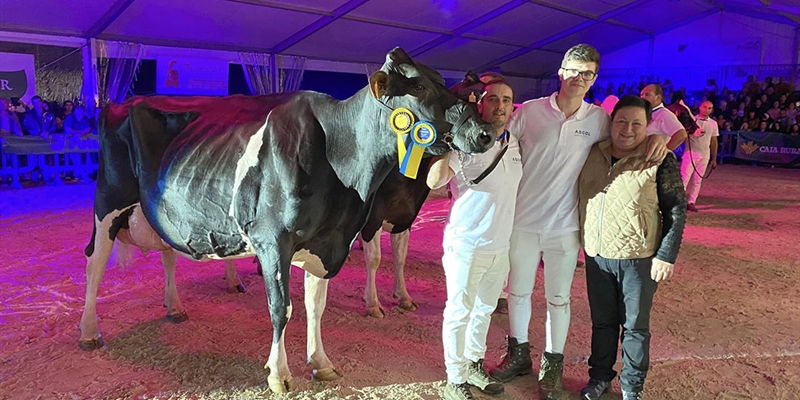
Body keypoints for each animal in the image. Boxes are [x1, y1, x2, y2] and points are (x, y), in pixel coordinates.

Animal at [81, 47, 494, 394]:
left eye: (444, 80)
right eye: (419, 85)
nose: (485, 132)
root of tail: (121, 103)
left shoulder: (328, 241)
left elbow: (315, 306)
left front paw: (321, 362)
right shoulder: (273, 240)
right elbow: (282, 308)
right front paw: (279, 374)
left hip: (164, 214)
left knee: (168, 253)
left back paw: (175, 307)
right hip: (107, 205)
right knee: (94, 264)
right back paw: (89, 332)